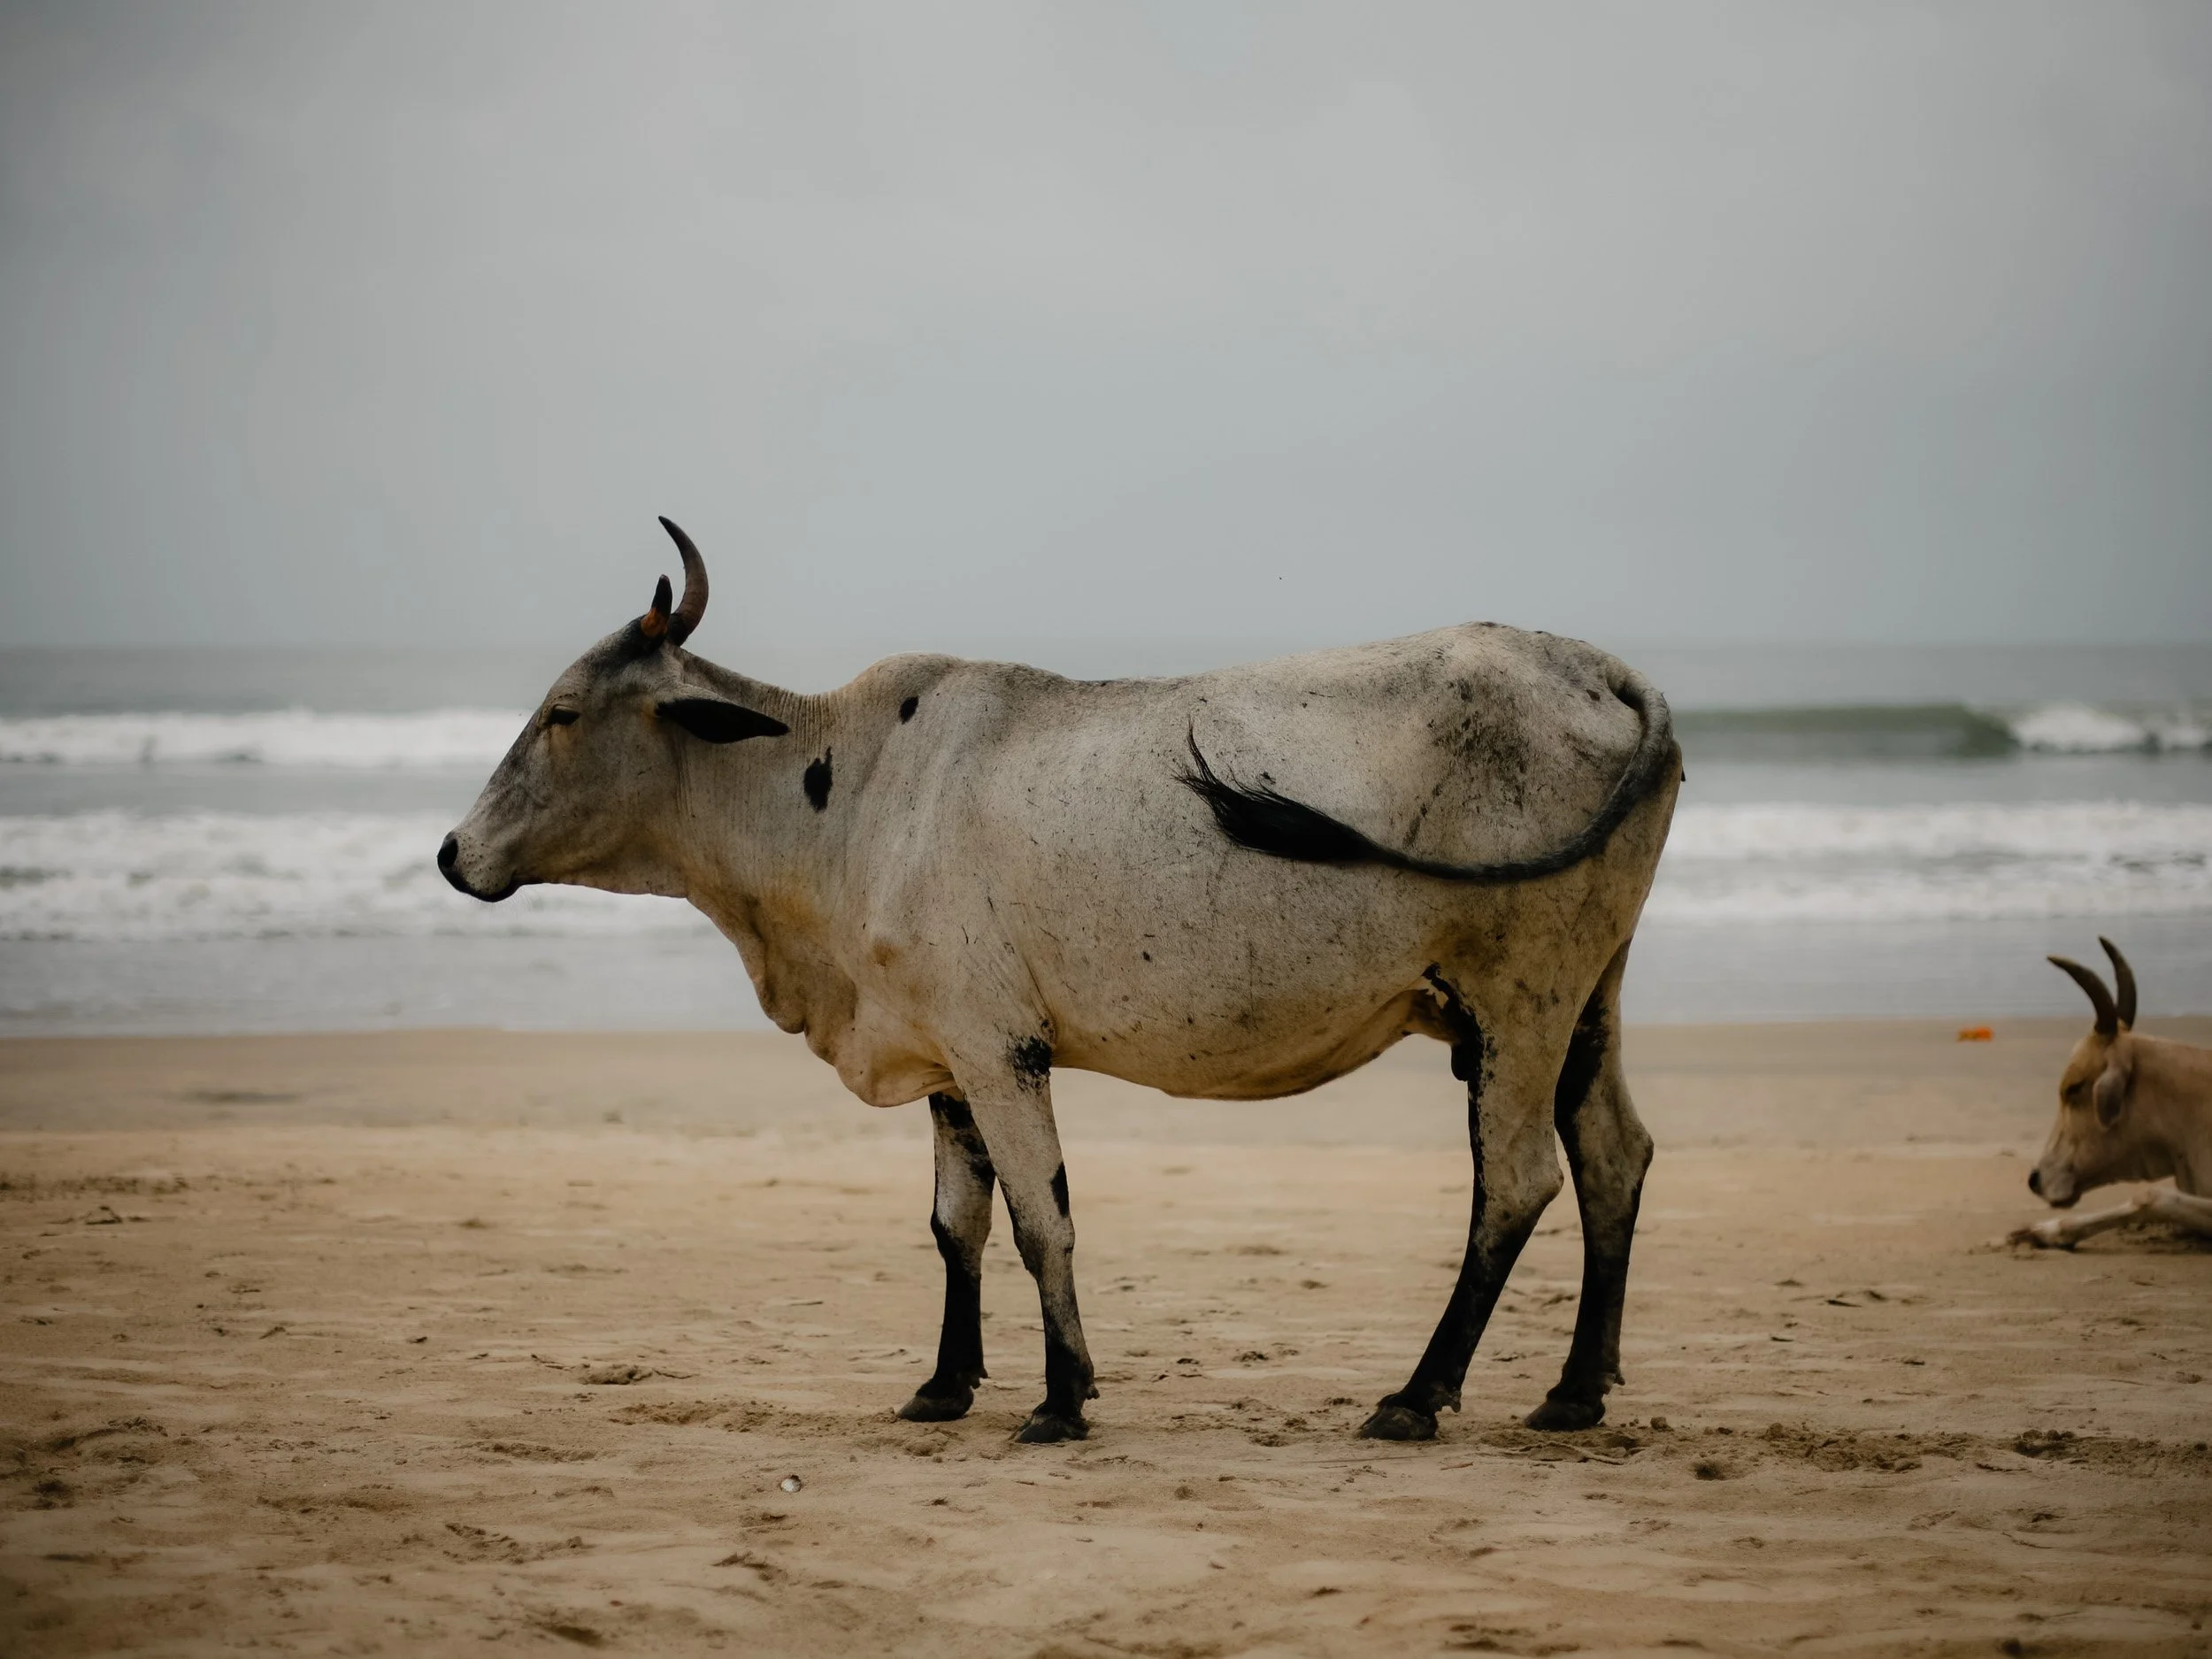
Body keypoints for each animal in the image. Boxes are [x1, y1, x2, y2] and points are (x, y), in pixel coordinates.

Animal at [440, 518, 1683, 1443]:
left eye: (561, 712)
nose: (454, 853)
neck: (847, 794)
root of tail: (1608, 671)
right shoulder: (945, 1053)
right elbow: (957, 1224)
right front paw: (945, 1385)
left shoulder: (1000, 1049)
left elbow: (1043, 1219)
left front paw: (1059, 1397)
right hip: (1591, 995)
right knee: (1612, 1157)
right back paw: (1573, 1392)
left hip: (1519, 998)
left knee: (1516, 1181)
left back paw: (1418, 1396)